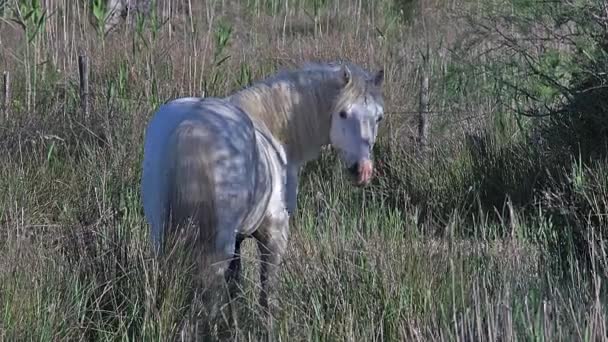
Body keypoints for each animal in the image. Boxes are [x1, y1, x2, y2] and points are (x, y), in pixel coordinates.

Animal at [141, 60, 384, 312]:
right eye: (343, 113)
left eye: (379, 118)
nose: (363, 171)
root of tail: (190, 126)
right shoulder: (274, 235)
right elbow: (267, 291)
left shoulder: (239, 239)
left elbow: (235, 284)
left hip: (163, 233)